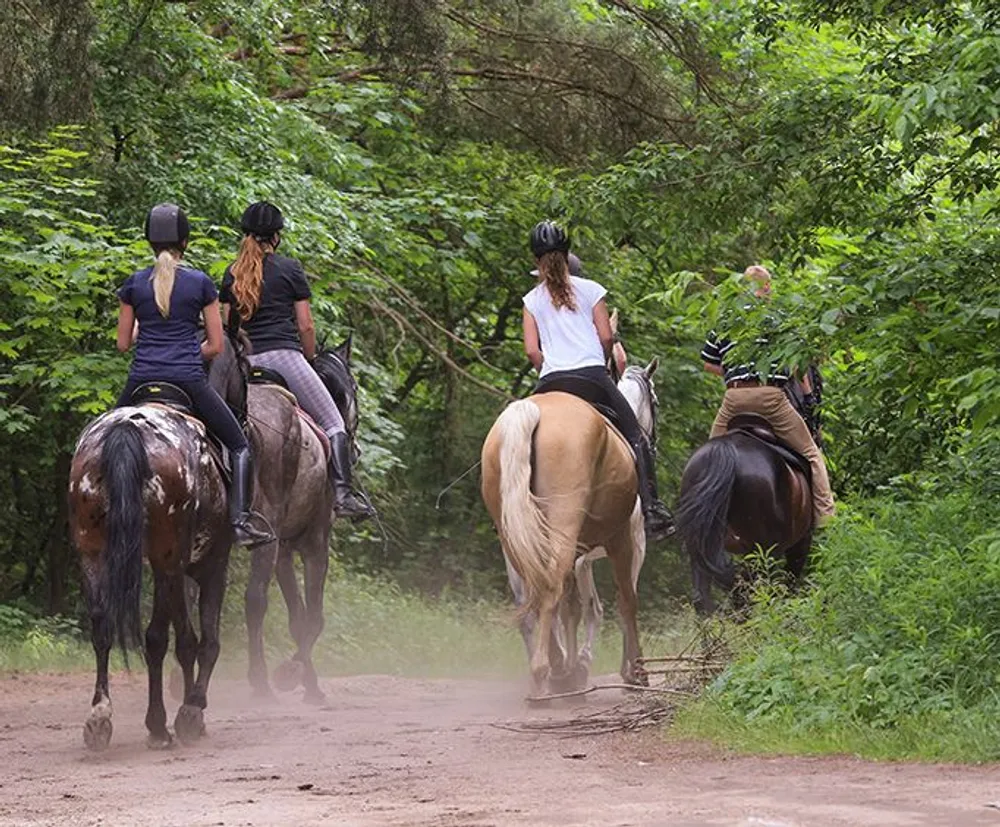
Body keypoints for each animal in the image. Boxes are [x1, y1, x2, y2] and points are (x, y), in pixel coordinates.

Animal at [71, 394, 233, 752]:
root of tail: (126, 429)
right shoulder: (211, 564)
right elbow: (201, 641)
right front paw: (192, 710)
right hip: (166, 556)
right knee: (160, 637)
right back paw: (159, 725)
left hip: (93, 552)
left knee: (102, 627)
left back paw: (99, 718)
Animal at [480, 362, 660, 692]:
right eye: (655, 401)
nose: (652, 442)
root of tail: (530, 412)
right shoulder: (630, 542)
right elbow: (626, 601)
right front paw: (634, 671)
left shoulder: (581, 557)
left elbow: (575, 607)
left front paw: (573, 666)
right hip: (565, 530)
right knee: (554, 590)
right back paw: (547, 671)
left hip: (516, 539)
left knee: (532, 599)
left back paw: (553, 668)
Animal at [676, 414, 816, 616]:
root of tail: (725, 449)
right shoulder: (800, 542)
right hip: (764, 550)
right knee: (753, 590)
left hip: (701, 544)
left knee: (703, 596)